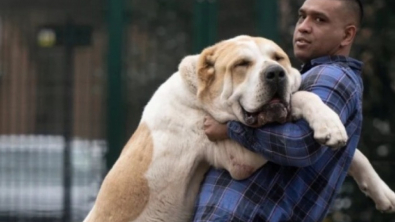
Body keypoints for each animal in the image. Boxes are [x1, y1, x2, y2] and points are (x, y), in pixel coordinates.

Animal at [84, 35, 395, 221]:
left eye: (278, 58)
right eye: (242, 64)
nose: (276, 73)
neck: (197, 96)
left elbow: (355, 154)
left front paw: (382, 192)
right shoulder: (239, 159)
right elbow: (302, 97)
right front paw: (329, 122)